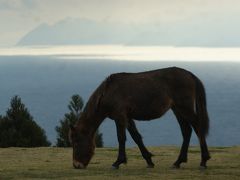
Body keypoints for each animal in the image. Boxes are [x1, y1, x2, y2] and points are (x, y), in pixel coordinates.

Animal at [69, 67, 210, 169]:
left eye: (76, 142)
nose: (76, 165)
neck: (108, 92)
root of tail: (190, 75)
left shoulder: (120, 117)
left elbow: (121, 138)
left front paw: (118, 162)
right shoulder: (128, 118)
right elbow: (136, 137)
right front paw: (149, 160)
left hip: (184, 108)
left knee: (198, 127)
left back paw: (203, 160)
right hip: (178, 110)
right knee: (187, 131)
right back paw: (178, 162)